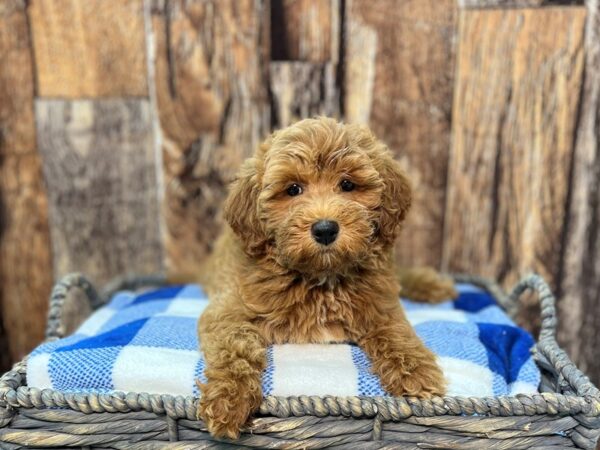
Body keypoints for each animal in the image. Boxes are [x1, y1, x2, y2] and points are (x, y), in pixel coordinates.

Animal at [196, 118, 454, 438]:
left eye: (347, 185)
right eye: (293, 189)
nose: (325, 229)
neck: (321, 278)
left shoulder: (381, 303)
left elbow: (396, 332)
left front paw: (416, 371)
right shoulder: (227, 310)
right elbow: (234, 348)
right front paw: (228, 399)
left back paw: (433, 285)